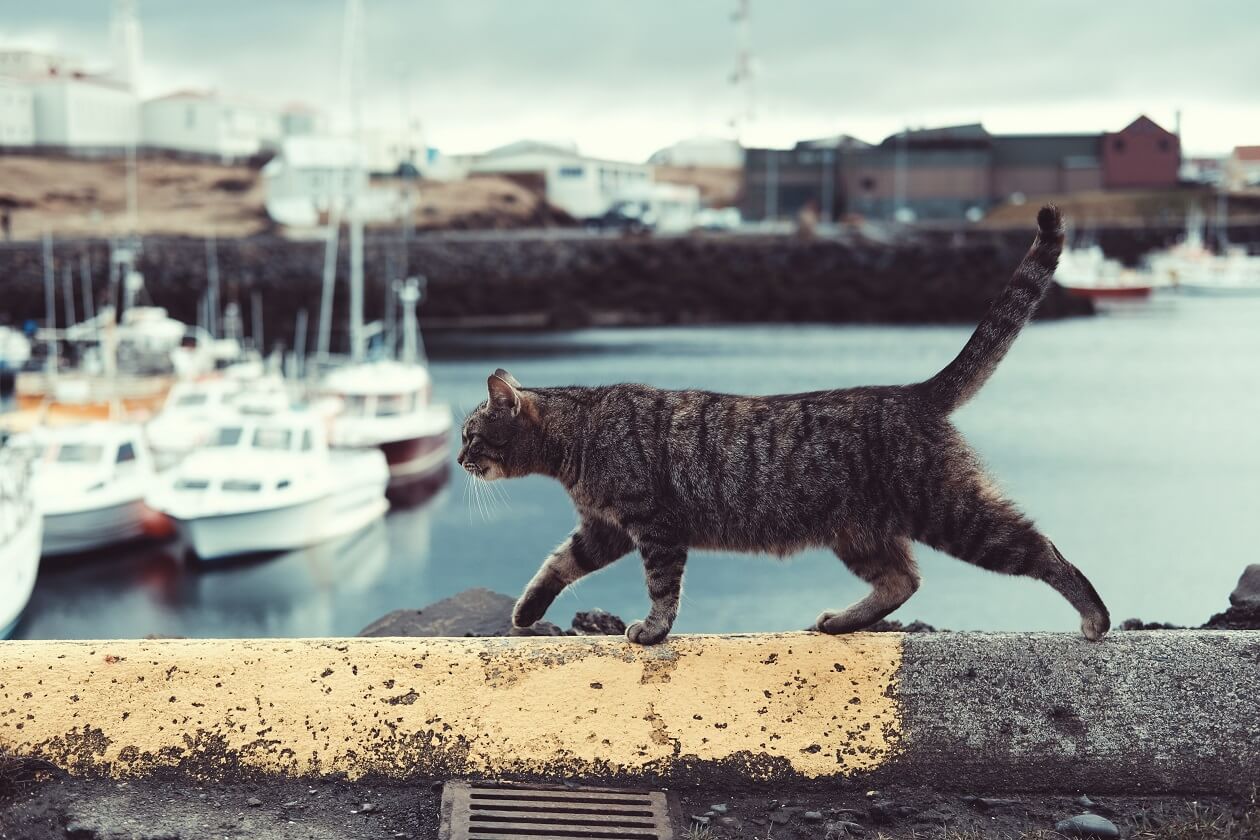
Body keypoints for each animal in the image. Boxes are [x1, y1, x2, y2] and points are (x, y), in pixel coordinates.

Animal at [458, 206, 1108, 649]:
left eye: (469, 435)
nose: (460, 460)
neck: (579, 434)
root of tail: (913, 392)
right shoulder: (604, 530)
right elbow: (556, 565)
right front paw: (526, 613)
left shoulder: (654, 525)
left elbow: (662, 588)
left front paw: (653, 629)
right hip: (861, 535)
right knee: (902, 581)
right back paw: (842, 621)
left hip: (953, 512)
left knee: (1039, 548)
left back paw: (1094, 616)